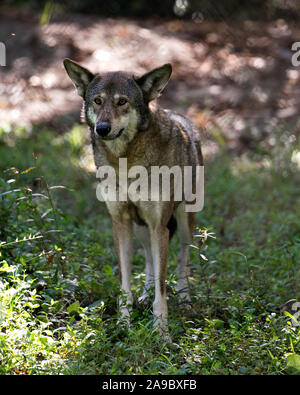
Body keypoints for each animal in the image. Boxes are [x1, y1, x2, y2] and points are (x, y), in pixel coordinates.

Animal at [63, 59, 204, 338]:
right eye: (97, 101)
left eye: (122, 102)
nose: (102, 129)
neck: (126, 161)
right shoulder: (121, 223)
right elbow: (125, 285)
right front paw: (123, 325)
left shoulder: (160, 225)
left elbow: (163, 287)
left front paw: (161, 333)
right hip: (142, 228)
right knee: (150, 260)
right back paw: (145, 295)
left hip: (183, 224)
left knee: (182, 263)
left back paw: (185, 301)